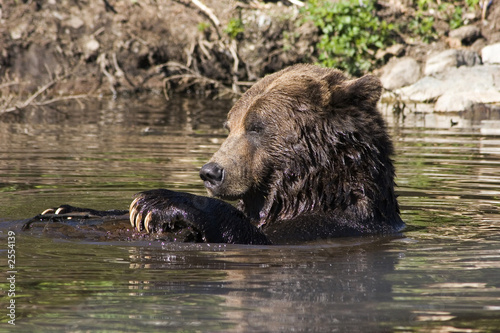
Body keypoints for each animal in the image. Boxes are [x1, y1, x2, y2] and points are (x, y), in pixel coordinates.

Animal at [127, 63, 404, 244]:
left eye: (255, 127)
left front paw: (156, 201)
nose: (210, 172)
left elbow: (254, 237)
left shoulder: (337, 225)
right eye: (229, 126)